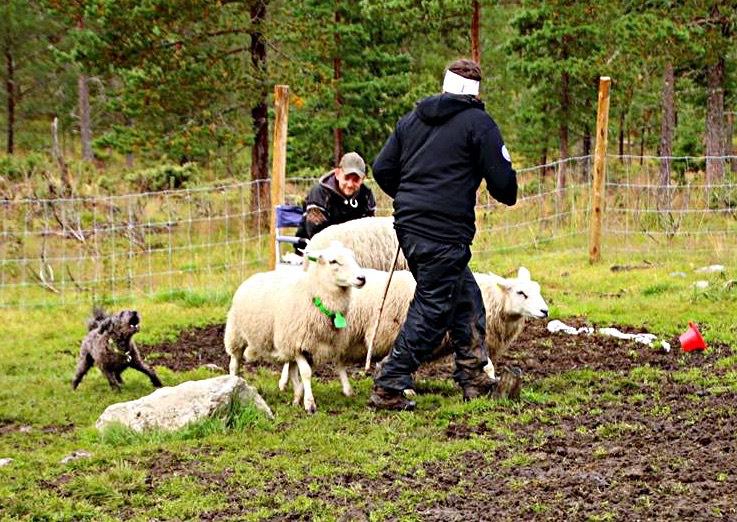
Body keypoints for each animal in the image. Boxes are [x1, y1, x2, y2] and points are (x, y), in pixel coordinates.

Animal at [223, 241, 364, 414]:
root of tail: (253, 276)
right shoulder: (297, 341)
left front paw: (299, 398)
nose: (362, 278)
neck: (313, 294)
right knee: (235, 363)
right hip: (236, 335)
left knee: (290, 369)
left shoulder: (313, 347)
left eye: (353, 257)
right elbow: (306, 373)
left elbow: (305, 374)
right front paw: (310, 404)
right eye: (333, 261)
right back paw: (233, 382)